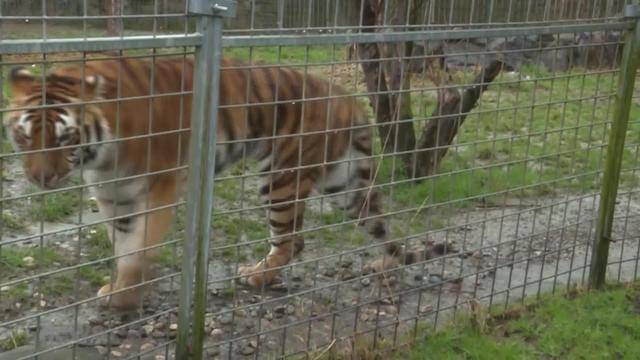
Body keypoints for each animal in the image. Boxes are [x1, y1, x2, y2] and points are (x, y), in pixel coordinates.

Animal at [6, 56, 424, 310]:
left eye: (64, 138)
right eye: (25, 137)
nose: (41, 177)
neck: (99, 155)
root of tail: (348, 98)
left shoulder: (159, 184)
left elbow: (140, 246)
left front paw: (124, 296)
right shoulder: (112, 193)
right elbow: (123, 245)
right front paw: (124, 289)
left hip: (281, 177)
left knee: (292, 239)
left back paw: (257, 275)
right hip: (342, 182)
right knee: (376, 223)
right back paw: (385, 263)